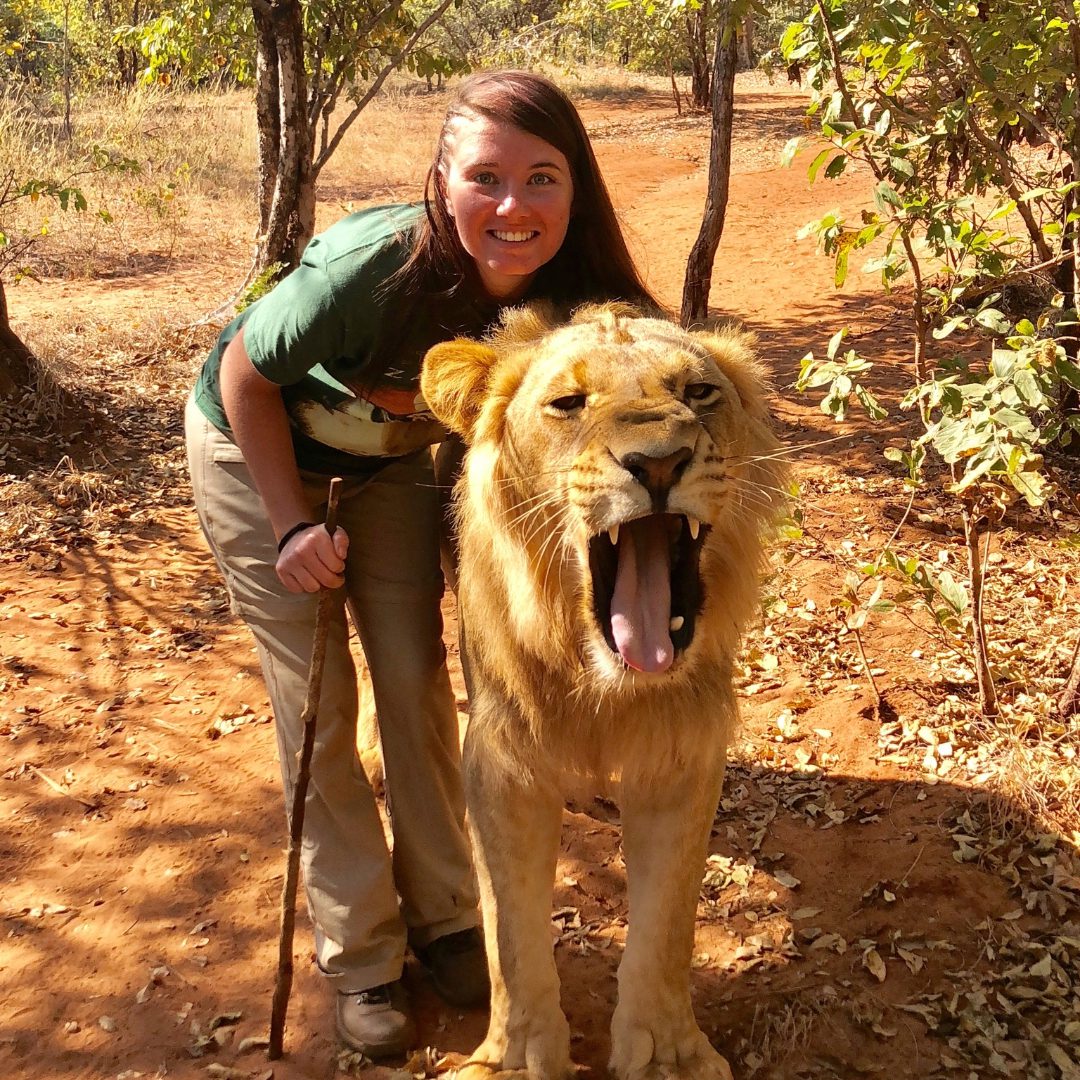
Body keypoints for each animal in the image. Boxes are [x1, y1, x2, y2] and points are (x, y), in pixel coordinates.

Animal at [419, 302, 786, 1080]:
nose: (660, 462)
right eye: (568, 403)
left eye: (698, 393)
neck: (603, 683)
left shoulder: (682, 756)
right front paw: (515, 1058)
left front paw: (668, 1055)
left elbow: (667, 925)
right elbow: (510, 932)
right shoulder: (500, 760)